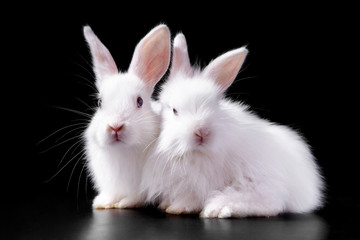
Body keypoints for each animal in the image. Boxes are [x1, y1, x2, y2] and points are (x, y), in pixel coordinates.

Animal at [83, 24, 171, 208]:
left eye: (139, 101)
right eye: (100, 102)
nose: (115, 126)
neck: (122, 151)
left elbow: (136, 196)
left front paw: (124, 203)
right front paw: (102, 202)